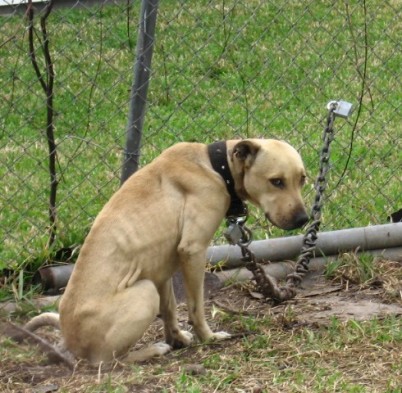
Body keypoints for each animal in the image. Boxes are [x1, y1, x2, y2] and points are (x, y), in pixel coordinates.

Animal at [25, 139, 308, 364]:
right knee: (106, 362)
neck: (217, 167)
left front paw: (179, 338)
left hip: (151, 283)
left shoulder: (163, 271)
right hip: (144, 292)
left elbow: (171, 310)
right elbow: (196, 308)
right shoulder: (193, 252)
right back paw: (152, 351)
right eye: (276, 181)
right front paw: (208, 337)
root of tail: (68, 337)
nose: (304, 219)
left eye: (302, 179)